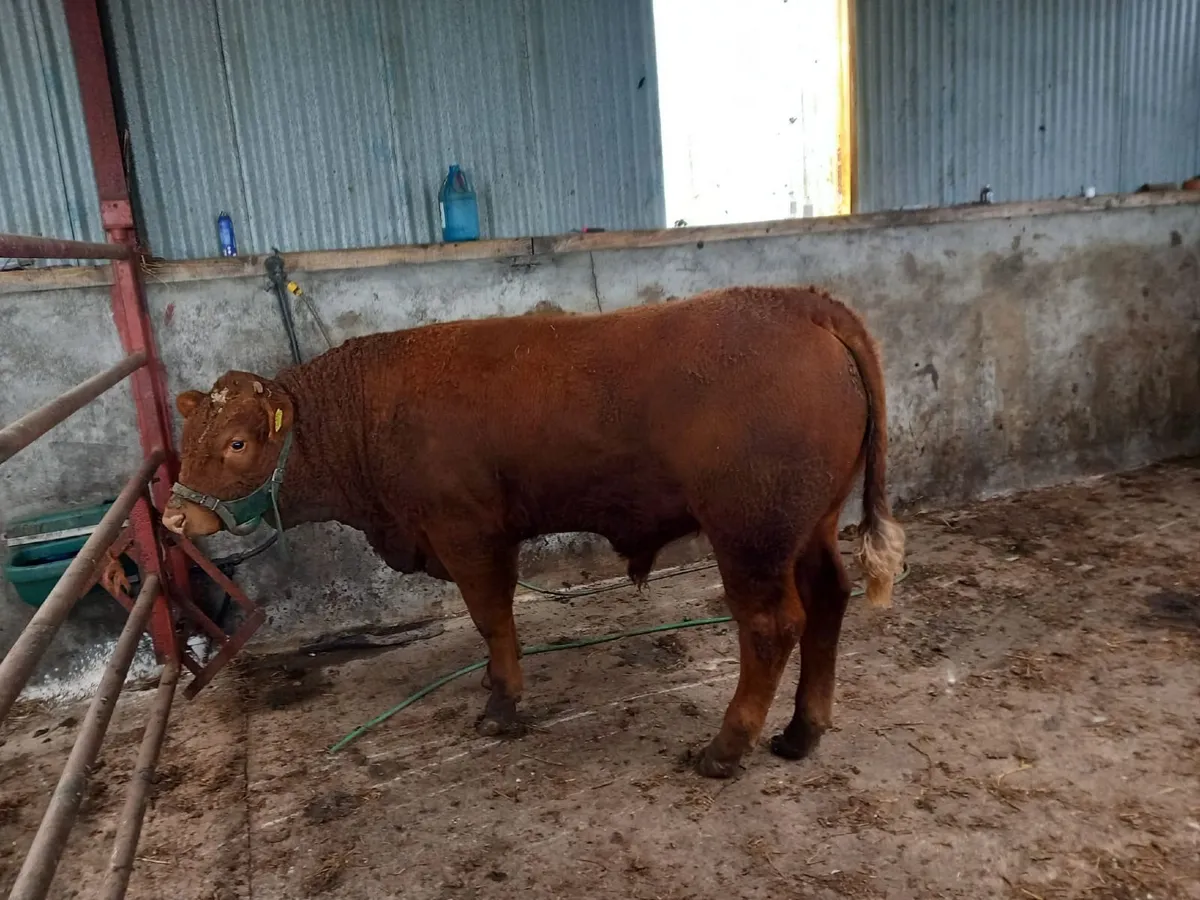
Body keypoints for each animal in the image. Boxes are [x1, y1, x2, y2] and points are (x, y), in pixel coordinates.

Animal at [163, 285, 905, 778]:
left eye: (235, 443)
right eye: (186, 438)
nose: (173, 516)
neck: (370, 411)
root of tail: (799, 304)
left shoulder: (467, 533)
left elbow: (493, 618)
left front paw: (502, 702)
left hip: (750, 534)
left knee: (771, 626)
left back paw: (725, 749)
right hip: (808, 524)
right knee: (828, 601)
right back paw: (801, 732)